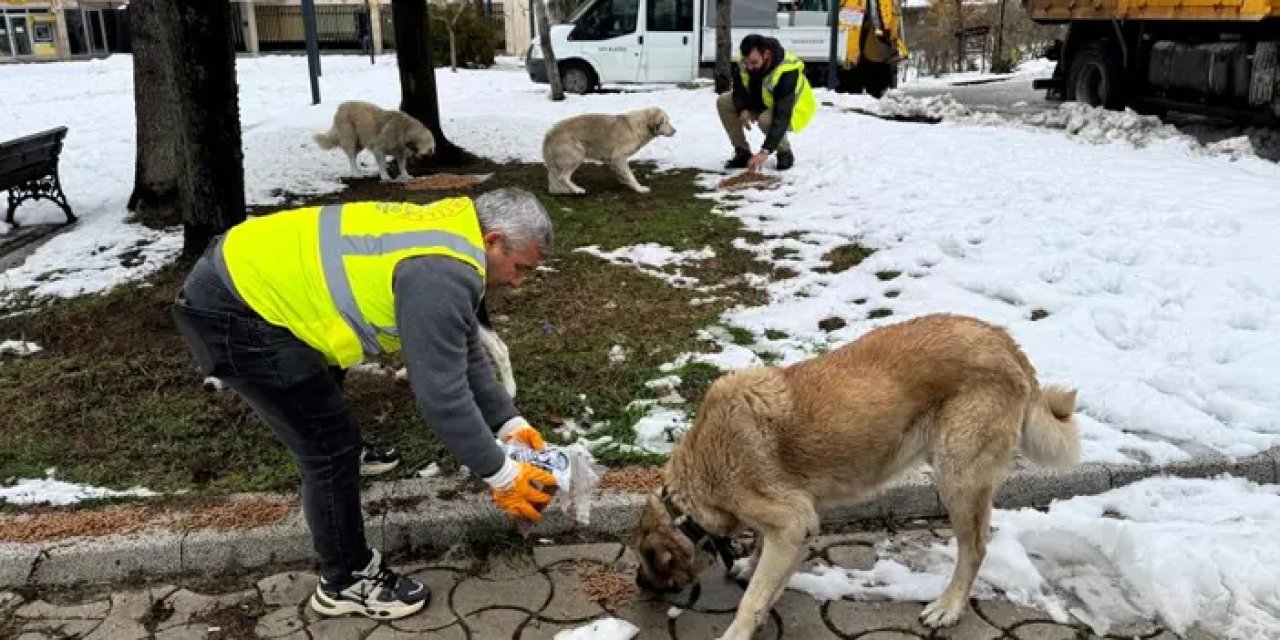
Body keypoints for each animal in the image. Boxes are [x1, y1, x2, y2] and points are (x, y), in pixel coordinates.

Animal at [542, 107, 680, 194]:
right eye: (666, 122)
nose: (675, 131)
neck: (636, 128)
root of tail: (549, 135)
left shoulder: (612, 160)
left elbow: (623, 174)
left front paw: (626, 183)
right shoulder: (619, 157)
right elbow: (631, 176)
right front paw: (639, 188)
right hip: (578, 155)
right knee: (563, 177)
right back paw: (577, 190)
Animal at [629, 312, 1080, 637]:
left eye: (644, 559)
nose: (639, 585)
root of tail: (1005, 342)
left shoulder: (792, 523)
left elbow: (751, 600)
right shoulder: (793, 526)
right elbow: (760, 560)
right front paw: (751, 565)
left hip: (957, 479)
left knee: (975, 550)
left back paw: (949, 608)